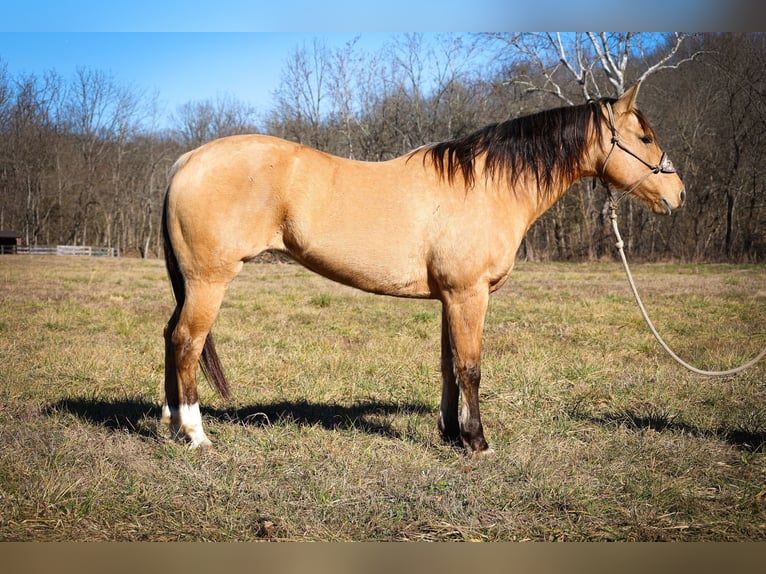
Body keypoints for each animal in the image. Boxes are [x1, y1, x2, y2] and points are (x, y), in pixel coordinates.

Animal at [160, 82, 684, 460]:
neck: (486, 186)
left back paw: (169, 424)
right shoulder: (469, 295)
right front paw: (478, 442)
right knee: (187, 341)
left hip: (191, 284)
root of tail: (187, 160)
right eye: (644, 138)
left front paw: (451, 434)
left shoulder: (450, 298)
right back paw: (196, 434)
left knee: (170, 336)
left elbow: (449, 368)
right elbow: (470, 368)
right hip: (209, 281)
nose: (678, 194)